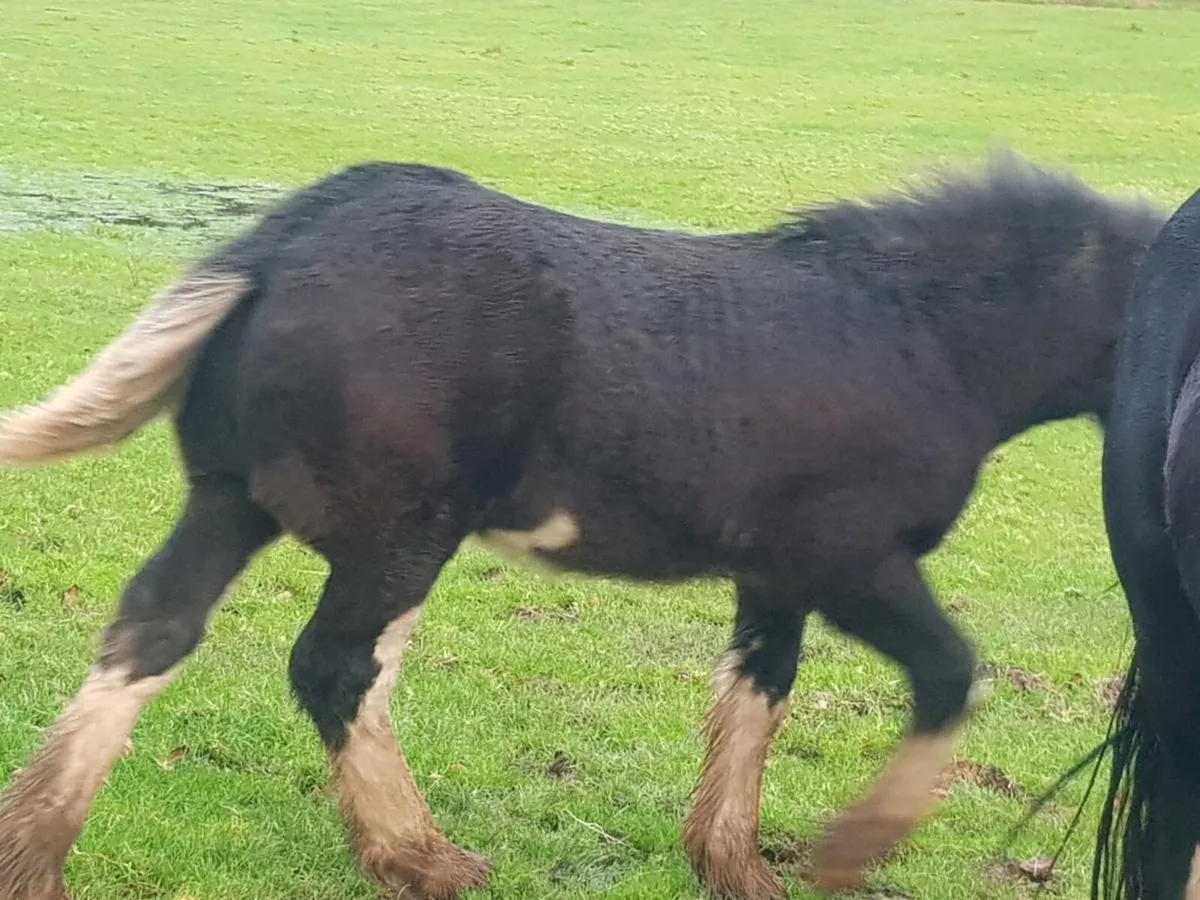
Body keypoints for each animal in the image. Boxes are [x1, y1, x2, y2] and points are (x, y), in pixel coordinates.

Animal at [0, 150, 1165, 900]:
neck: (925, 335)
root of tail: (281, 243)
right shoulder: (853, 563)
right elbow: (949, 670)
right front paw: (850, 851)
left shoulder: (777, 575)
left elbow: (758, 693)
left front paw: (732, 865)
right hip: (399, 533)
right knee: (334, 667)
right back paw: (420, 859)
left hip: (235, 501)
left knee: (154, 631)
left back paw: (35, 855)